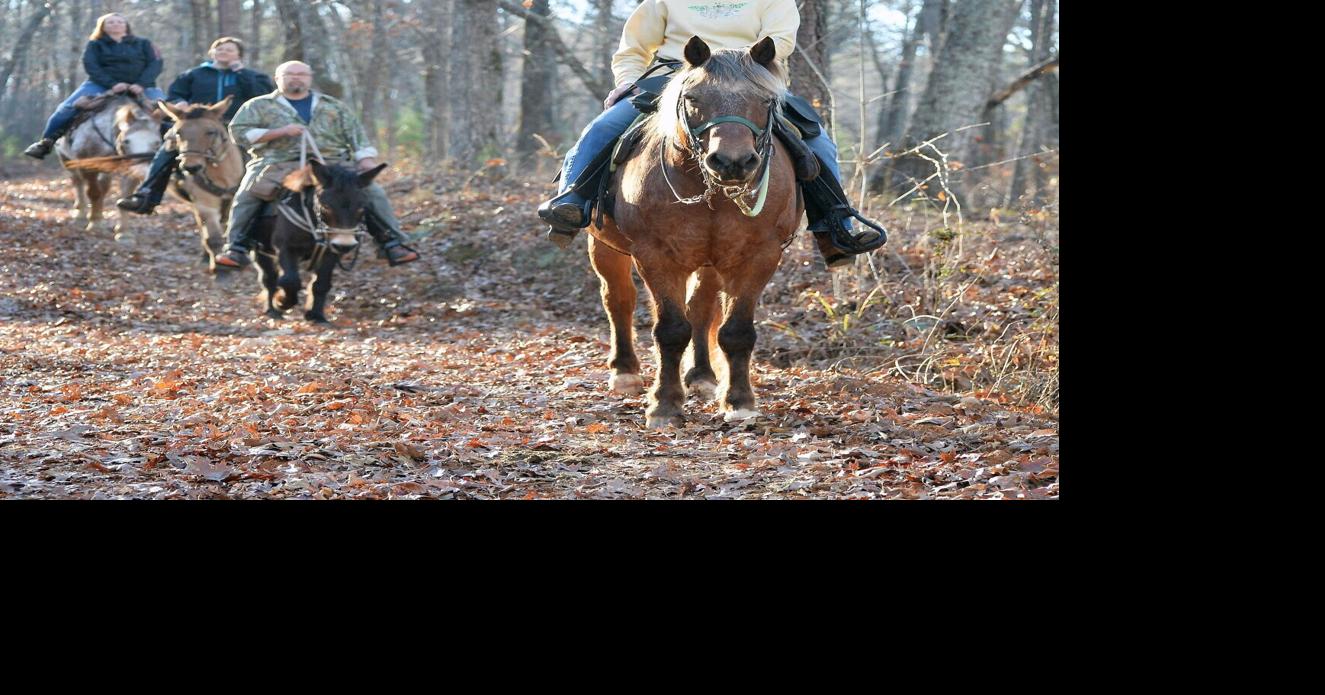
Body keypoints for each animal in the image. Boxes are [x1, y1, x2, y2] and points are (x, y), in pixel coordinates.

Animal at [56, 94, 162, 242]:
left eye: (157, 143)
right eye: (126, 141)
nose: (141, 171)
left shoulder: (128, 171)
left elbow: (125, 196)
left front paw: (123, 232)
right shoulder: (88, 168)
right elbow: (93, 192)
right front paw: (95, 223)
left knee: (103, 187)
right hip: (66, 160)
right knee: (78, 183)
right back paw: (81, 215)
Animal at [157, 95, 244, 272]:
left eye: (210, 132)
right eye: (178, 132)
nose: (191, 167)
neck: (223, 177)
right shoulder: (204, 204)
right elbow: (213, 238)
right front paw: (218, 266)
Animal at [250, 158, 387, 324]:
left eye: (362, 207)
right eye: (326, 206)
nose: (344, 245)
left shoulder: (330, 252)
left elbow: (321, 284)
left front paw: (316, 315)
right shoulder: (285, 247)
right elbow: (290, 280)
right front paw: (282, 302)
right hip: (260, 250)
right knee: (268, 279)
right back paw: (272, 310)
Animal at [586, 37, 801, 428]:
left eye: (766, 100)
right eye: (694, 98)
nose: (732, 162)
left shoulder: (759, 255)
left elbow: (735, 331)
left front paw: (739, 402)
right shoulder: (654, 255)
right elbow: (671, 330)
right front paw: (665, 406)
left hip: (710, 261)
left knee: (700, 309)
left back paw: (701, 376)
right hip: (604, 246)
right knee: (618, 298)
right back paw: (624, 372)